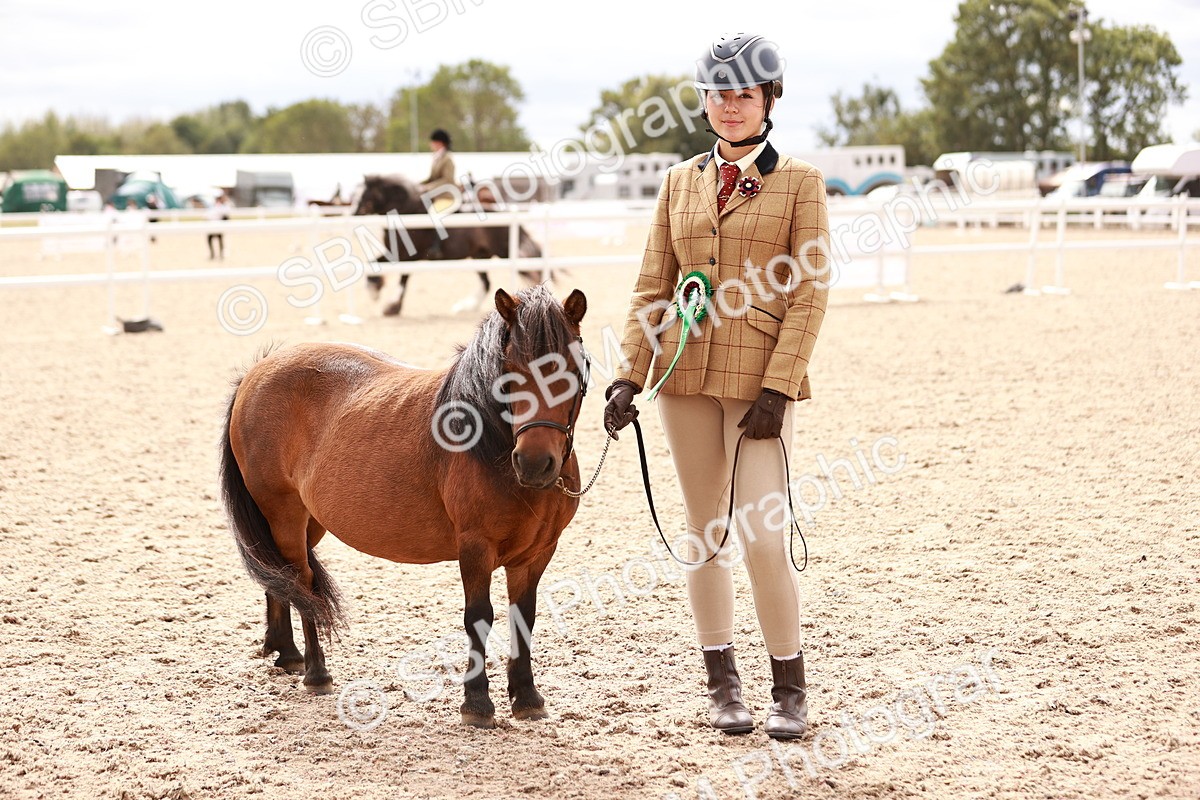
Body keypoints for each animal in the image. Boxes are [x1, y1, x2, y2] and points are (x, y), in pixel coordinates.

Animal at [219, 285, 589, 728]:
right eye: (509, 369)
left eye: (572, 368)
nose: (534, 463)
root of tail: (255, 373)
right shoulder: (475, 547)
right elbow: (478, 617)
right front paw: (477, 703)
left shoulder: (536, 554)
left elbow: (524, 618)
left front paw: (527, 697)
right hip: (283, 512)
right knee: (300, 581)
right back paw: (315, 671)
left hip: (309, 521)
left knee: (280, 575)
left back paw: (286, 653)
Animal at [354, 174, 545, 317]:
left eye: (364, 195)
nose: (354, 213)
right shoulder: (396, 254)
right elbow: (374, 265)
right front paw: (379, 293)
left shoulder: (407, 256)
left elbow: (402, 278)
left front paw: (386, 303)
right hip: (479, 255)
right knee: (487, 283)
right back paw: (465, 307)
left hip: (503, 251)